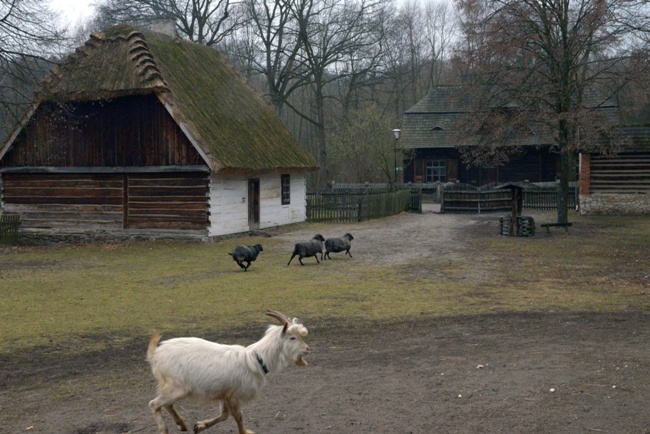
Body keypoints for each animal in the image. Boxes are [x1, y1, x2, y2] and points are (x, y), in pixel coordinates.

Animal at [147, 310, 308, 432]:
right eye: (292, 337)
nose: (307, 349)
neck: (256, 360)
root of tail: (156, 354)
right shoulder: (234, 395)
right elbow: (238, 416)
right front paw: (245, 432)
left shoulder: (225, 394)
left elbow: (224, 415)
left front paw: (200, 425)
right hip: (178, 387)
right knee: (154, 404)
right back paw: (165, 429)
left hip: (173, 388)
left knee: (166, 404)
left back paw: (181, 424)